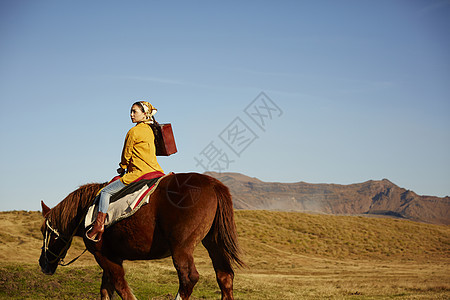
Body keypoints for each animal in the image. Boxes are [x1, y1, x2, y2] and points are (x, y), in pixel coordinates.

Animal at [37, 172, 243, 298]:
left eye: (44, 231)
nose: (43, 264)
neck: (86, 209)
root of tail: (213, 184)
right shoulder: (112, 257)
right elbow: (106, 290)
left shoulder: (104, 256)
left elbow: (120, 286)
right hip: (213, 243)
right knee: (225, 276)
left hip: (182, 247)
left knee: (188, 278)